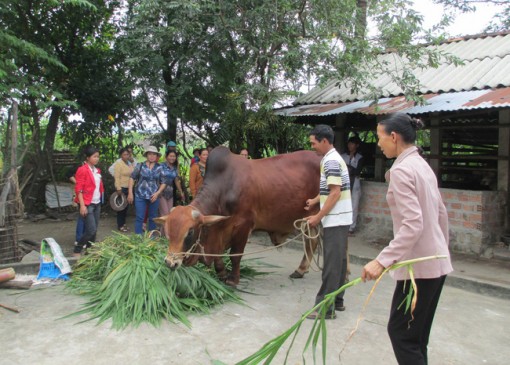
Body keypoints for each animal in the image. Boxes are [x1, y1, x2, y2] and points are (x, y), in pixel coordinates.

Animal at [157, 145, 320, 284]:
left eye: (190, 232)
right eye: (168, 231)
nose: (170, 263)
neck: (225, 188)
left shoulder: (244, 225)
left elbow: (235, 255)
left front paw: (233, 279)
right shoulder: (219, 230)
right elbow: (218, 255)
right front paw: (222, 273)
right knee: (311, 241)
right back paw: (300, 270)